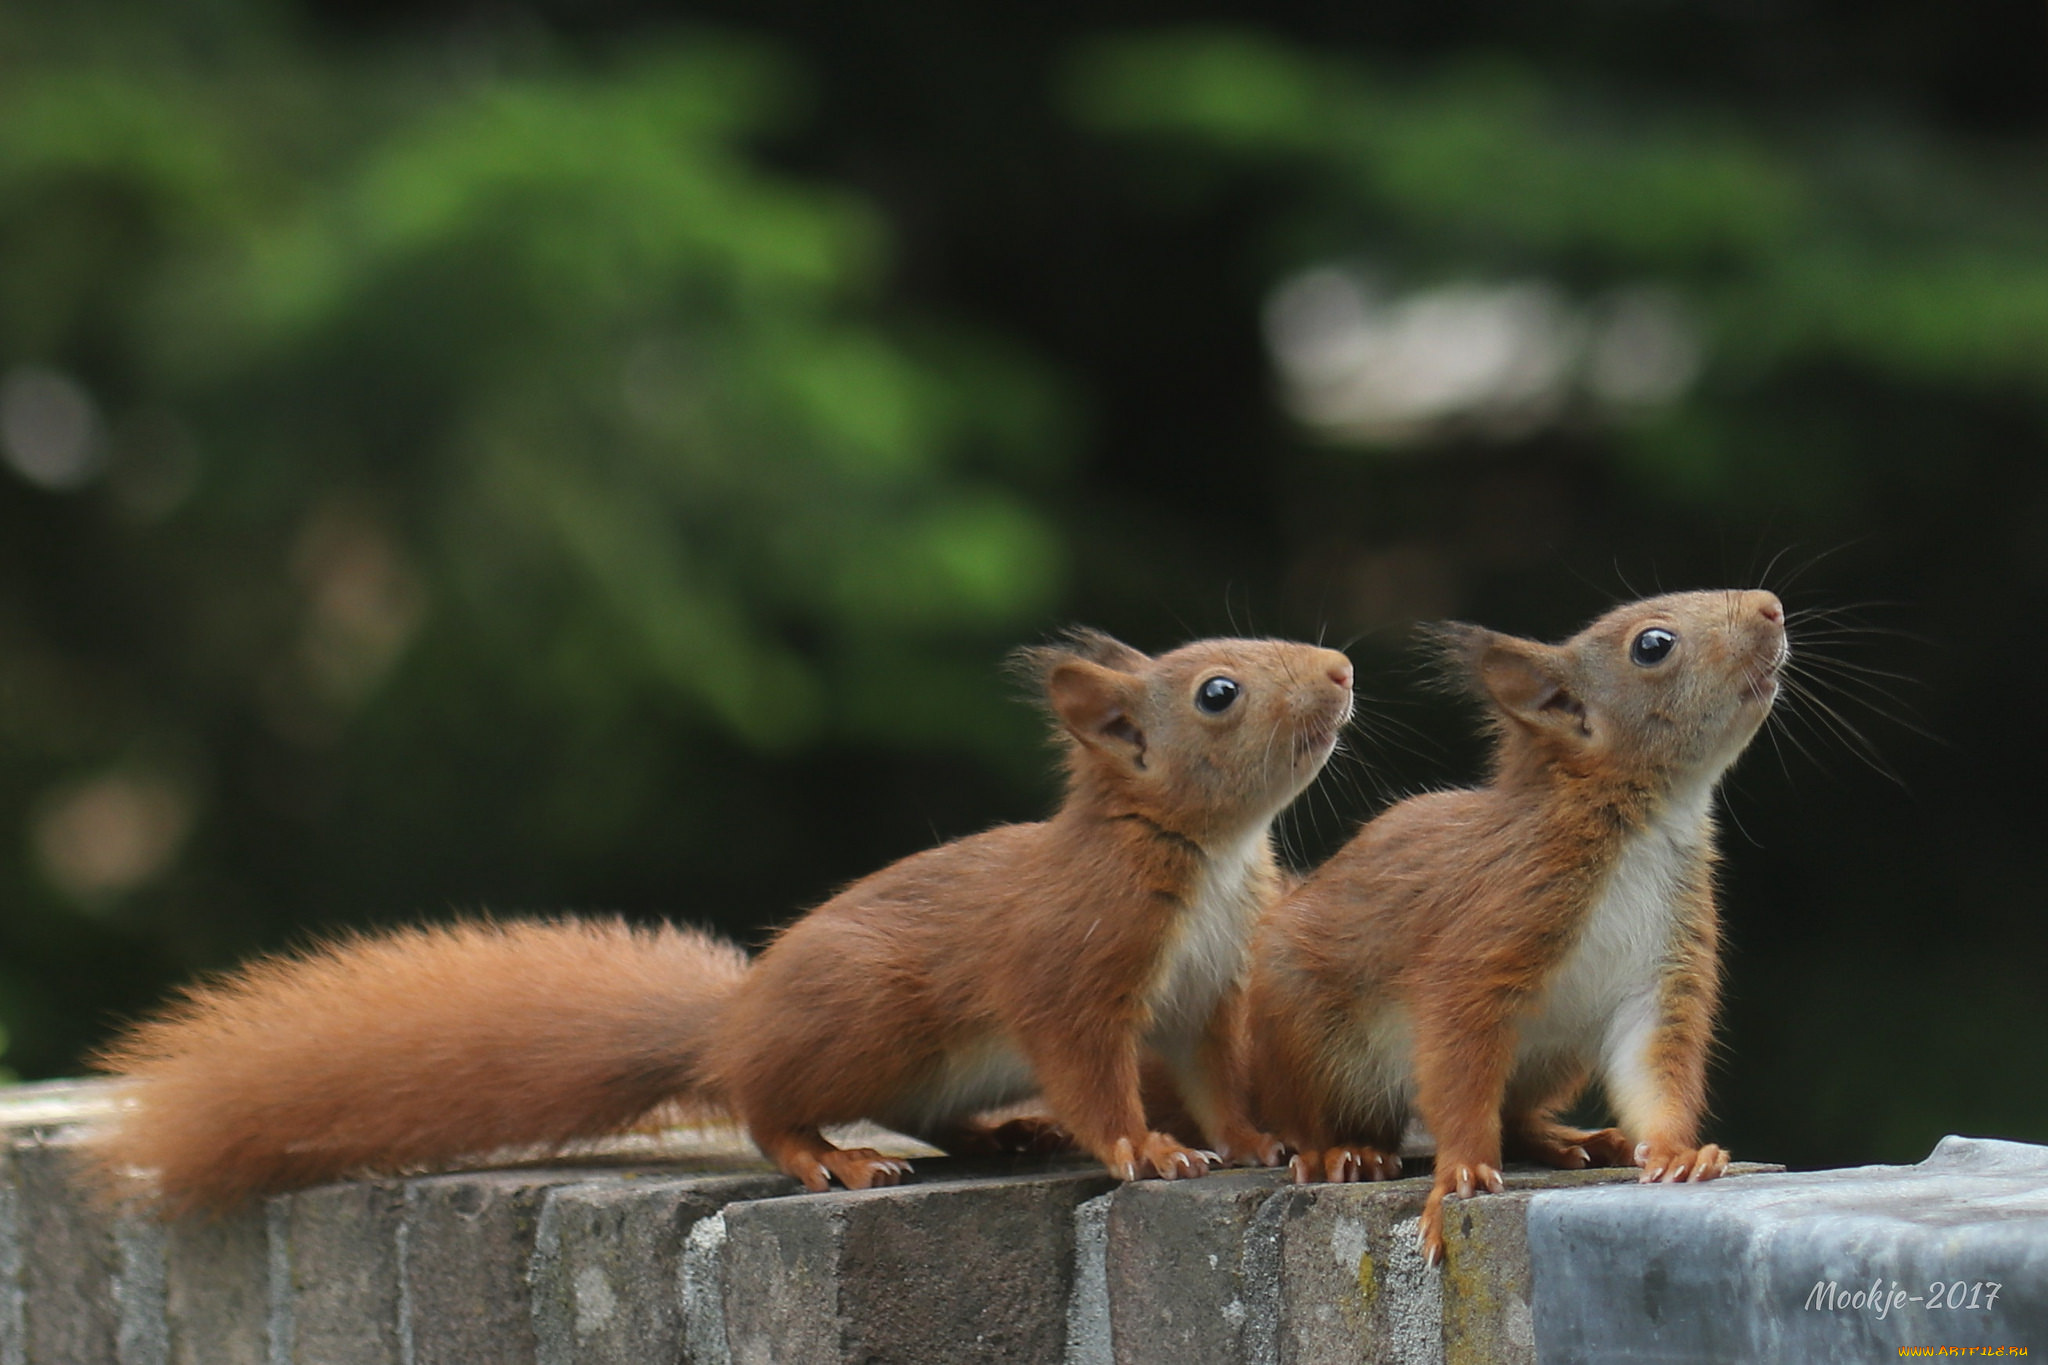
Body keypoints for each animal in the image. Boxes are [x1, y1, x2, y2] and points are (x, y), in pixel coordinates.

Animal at [83, 626, 1359, 1211]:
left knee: (923, 1120)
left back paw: (1002, 1135)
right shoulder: (1075, 968)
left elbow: (1213, 1081)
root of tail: (731, 1021)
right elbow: (1090, 1070)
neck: (1206, 856)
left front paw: (1252, 1140)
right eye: (1217, 693)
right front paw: (1144, 1149)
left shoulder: (1206, 998)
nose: (1342, 668)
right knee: (761, 1110)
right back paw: (828, 1157)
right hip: (858, 1018)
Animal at [1236, 593, 1785, 1268]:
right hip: (1307, 1039)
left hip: (1554, 1055)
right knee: (1313, 1118)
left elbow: (1656, 1068)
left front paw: (1676, 1152)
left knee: (1517, 1117)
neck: (1644, 826)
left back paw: (1569, 1140)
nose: (1771, 607)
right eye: (1652, 645)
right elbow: (1461, 1062)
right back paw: (1342, 1151)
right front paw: (1462, 1174)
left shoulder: (1668, 961)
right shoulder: (1496, 924)